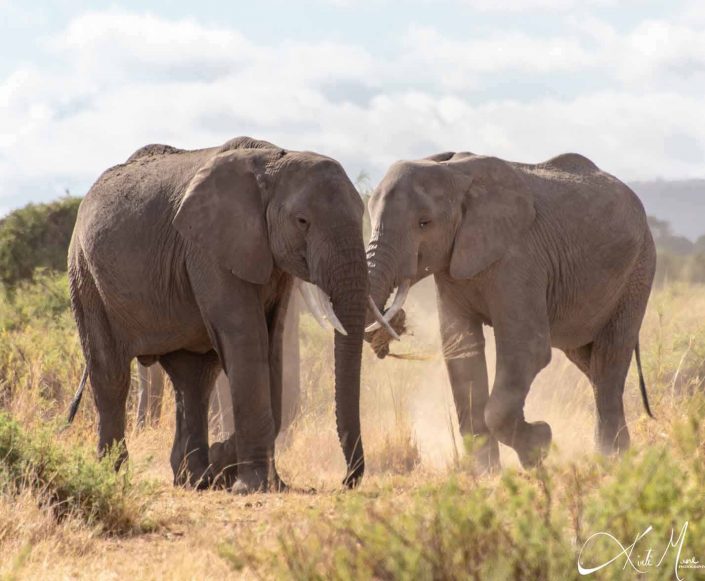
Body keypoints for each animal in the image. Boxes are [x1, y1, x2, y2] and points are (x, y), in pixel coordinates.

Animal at [66, 137, 368, 494]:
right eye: (302, 221)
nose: (347, 480)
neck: (273, 159)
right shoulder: (208, 249)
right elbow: (246, 337)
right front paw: (249, 484)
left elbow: (272, 343)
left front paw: (235, 468)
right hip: (85, 275)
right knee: (111, 374)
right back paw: (113, 475)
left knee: (193, 380)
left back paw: (193, 479)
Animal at [364, 151, 656, 472]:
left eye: (424, 223)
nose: (394, 323)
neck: (454, 172)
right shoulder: (453, 266)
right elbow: (463, 353)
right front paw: (487, 473)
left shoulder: (519, 258)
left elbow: (527, 350)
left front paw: (539, 446)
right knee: (589, 362)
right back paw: (618, 453)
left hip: (637, 272)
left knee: (608, 359)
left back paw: (611, 459)